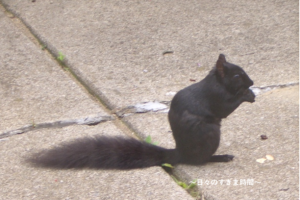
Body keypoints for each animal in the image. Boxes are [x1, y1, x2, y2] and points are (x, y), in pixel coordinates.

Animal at [26, 55, 255, 170]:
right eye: (237, 76)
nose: (252, 82)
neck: (217, 81)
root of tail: (180, 152)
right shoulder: (216, 96)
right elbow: (226, 107)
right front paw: (247, 95)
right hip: (209, 135)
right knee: (199, 161)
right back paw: (220, 157)